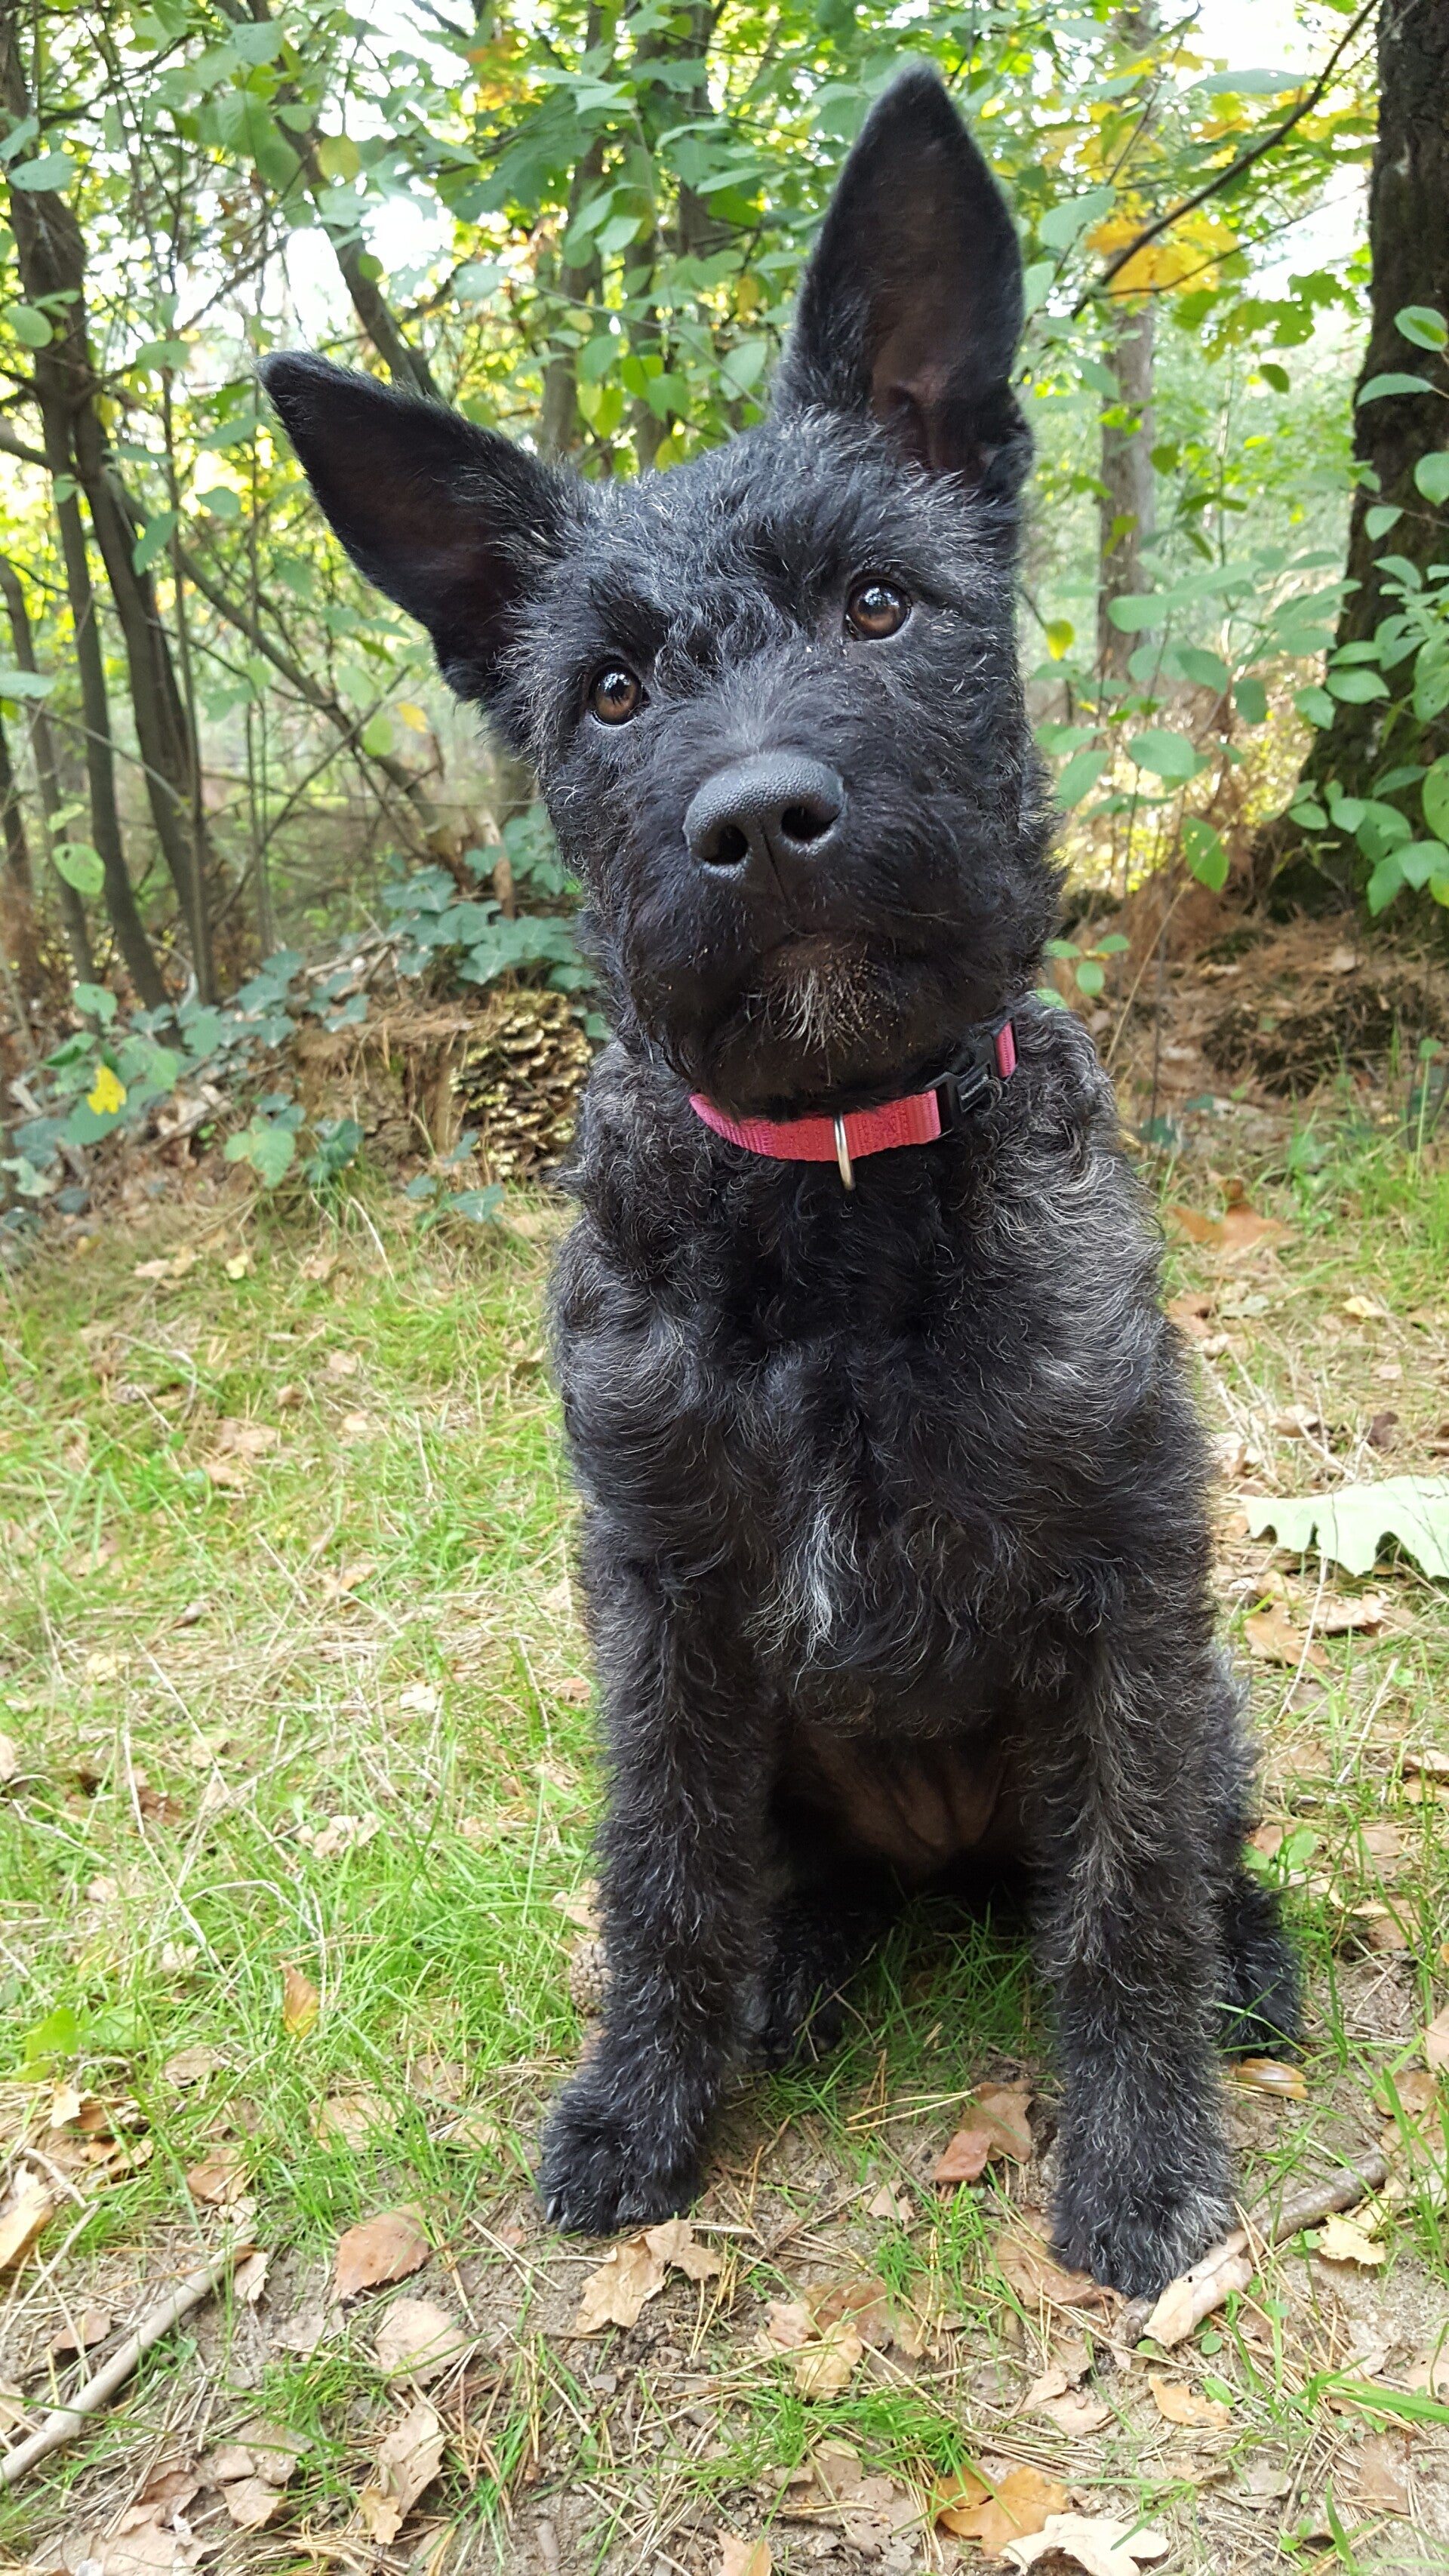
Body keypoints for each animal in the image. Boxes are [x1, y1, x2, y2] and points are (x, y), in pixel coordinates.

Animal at [262, 61, 1298, 2295]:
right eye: (611, 690)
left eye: (879, 602)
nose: (758, 817)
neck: (834, 1206)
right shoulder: (661, 1606)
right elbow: (659, 1873)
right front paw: (644, 2097)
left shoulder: (1126, 1585)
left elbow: (1127, 1895)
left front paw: (1143, 2154)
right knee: (772, 1877)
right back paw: (795, 1966)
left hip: (1203, 1696)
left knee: (1183, 1847)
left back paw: (1247, 1957)